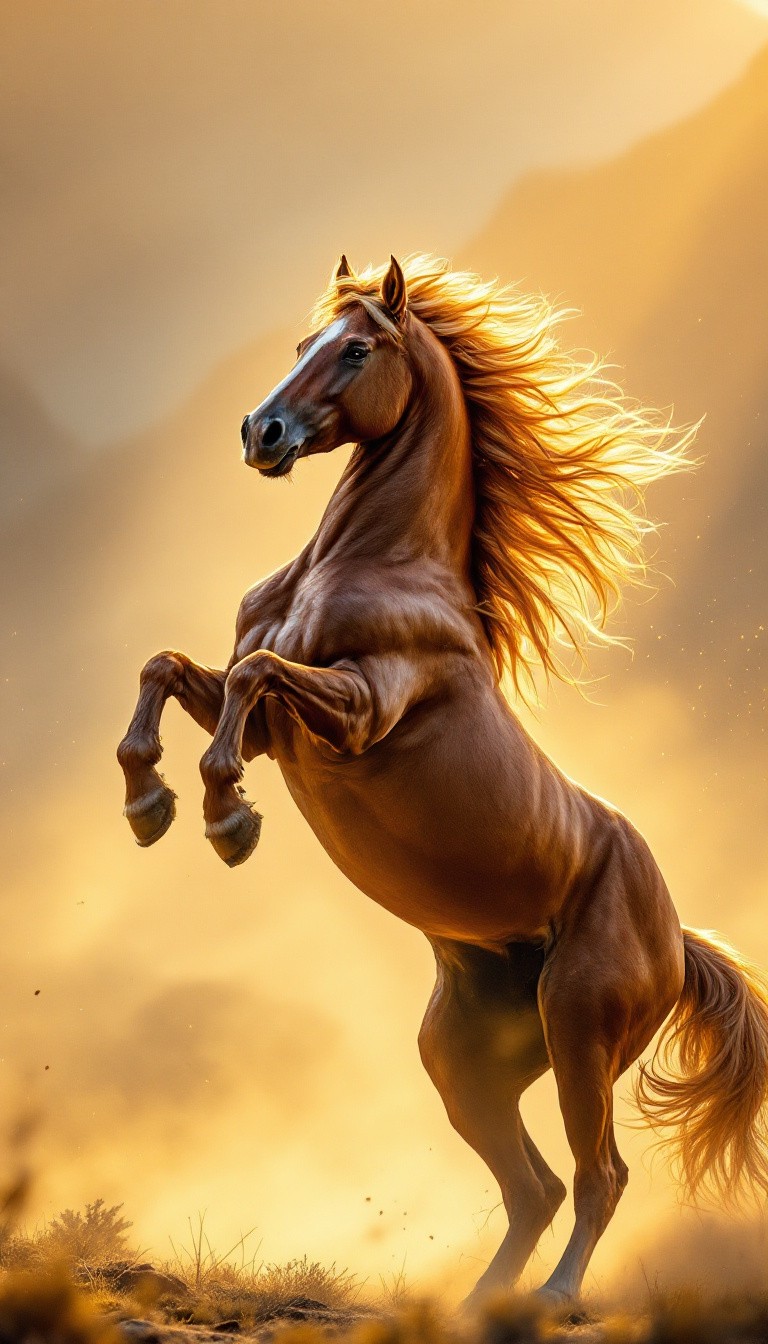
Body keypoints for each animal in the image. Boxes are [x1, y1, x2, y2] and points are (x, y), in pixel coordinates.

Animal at [117, 254, 768, 1305]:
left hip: (580, 1027)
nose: (262, 433)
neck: (367, 566)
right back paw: (477, 1306)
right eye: (303, 342)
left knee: (599, 1176)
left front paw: (227, 823)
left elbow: (253, 680)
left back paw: (552, 1301)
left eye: (357, 349)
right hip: (468, 1059)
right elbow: (172, 666)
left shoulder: (356, 711)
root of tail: (678, 940)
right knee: (536, 1187)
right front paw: (150, 804)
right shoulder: (268, 718)